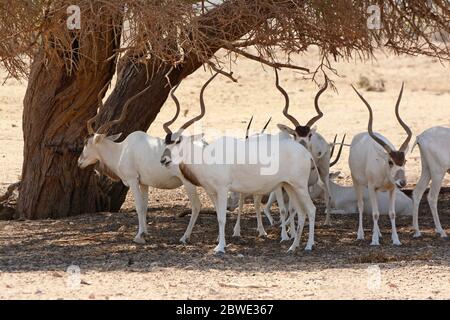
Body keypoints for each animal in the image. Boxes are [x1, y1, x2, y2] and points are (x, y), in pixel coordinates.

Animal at [160, 71, 318, 254]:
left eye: (178, 141)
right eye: (165, 141)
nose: (163, 160)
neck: (207, 156)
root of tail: (305, 152)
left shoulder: (223, 189)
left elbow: (222, 218)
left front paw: (220, 247)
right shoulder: (212, 192)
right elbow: (218, 216)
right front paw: (220, 242)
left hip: (299, 186)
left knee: (311, 210)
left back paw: (308, 246)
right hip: (290, 186)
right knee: (301, 212)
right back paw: (293, 247)